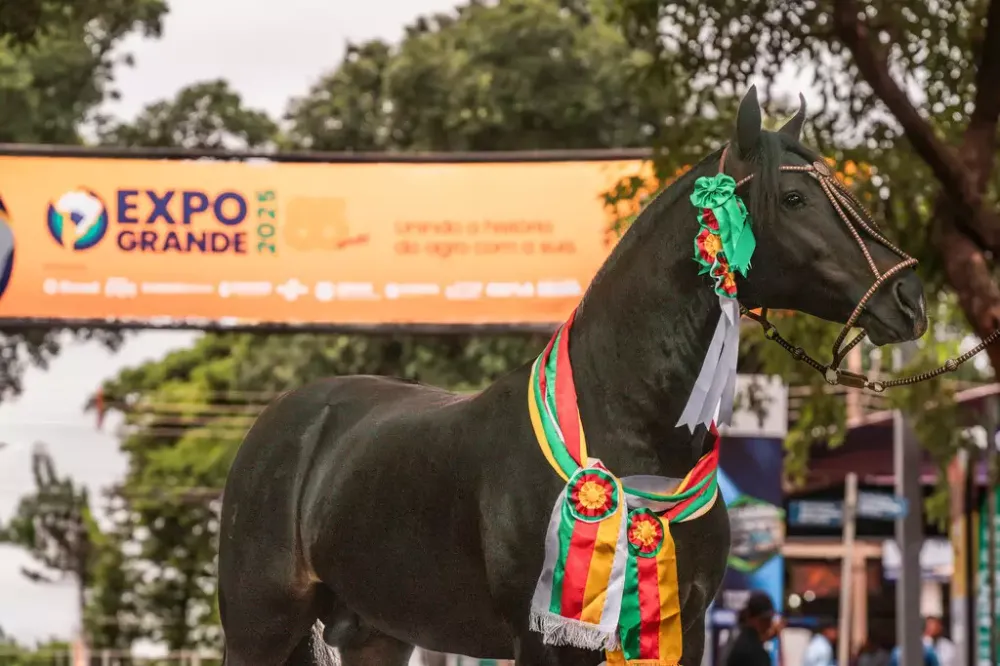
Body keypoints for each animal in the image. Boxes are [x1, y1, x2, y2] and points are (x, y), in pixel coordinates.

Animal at [216, 86, 928, 666]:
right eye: (795, 197)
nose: (911, 297)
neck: (625, 421)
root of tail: (282, 421)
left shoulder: (687, 631)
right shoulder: (540, 639)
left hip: (377, 634)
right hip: (258, 631)